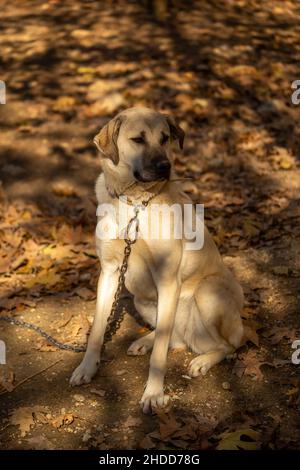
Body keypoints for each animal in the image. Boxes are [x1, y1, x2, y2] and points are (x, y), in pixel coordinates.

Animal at [70, 106, 244, 412]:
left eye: (165, 138)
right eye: (138, 139)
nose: (165, 167)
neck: (135, 202)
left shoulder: (167, 278)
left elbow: (160, 356)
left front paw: (153, 393)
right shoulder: (110, 273)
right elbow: (98, 329)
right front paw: (87, 367)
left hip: (207, 293)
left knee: (227, 346)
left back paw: (202, 360)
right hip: (142, 298)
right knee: (174, 337)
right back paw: (146, 341)